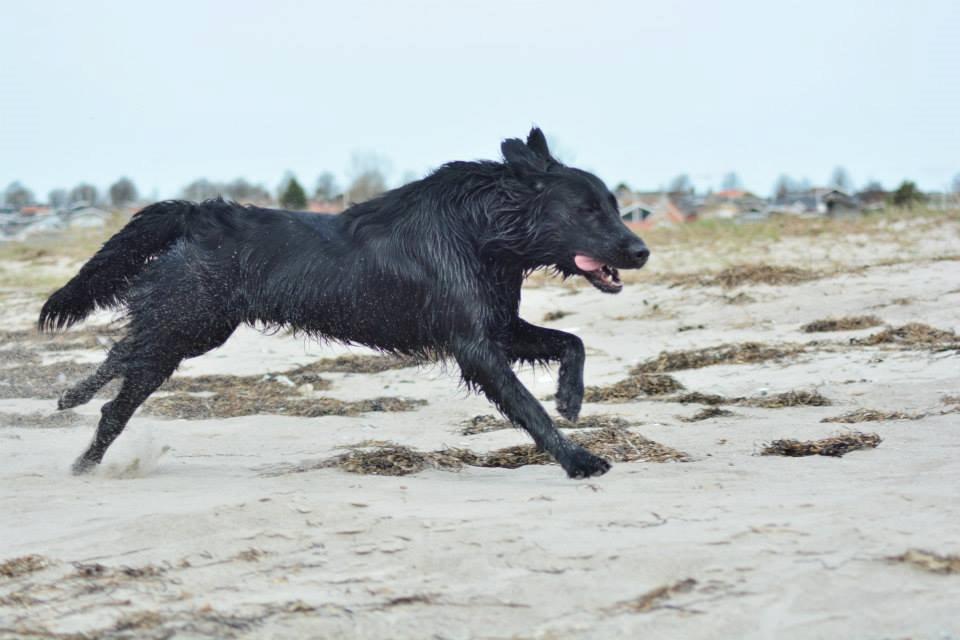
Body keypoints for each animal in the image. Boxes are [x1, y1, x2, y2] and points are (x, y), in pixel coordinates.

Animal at [41, 129, 648, 476]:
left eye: (614, 206)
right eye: (588, 210)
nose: (641, 250)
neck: (480, 232)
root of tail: (197, 211)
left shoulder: (498, 325)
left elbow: (572, 341)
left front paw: (572, 397)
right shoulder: (475, 346)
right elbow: (528, 407)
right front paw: (577, 458)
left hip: (192, 330)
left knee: (121, 360)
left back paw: (73, 407)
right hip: (187, 323)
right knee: (120, 384)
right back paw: (83, 450)